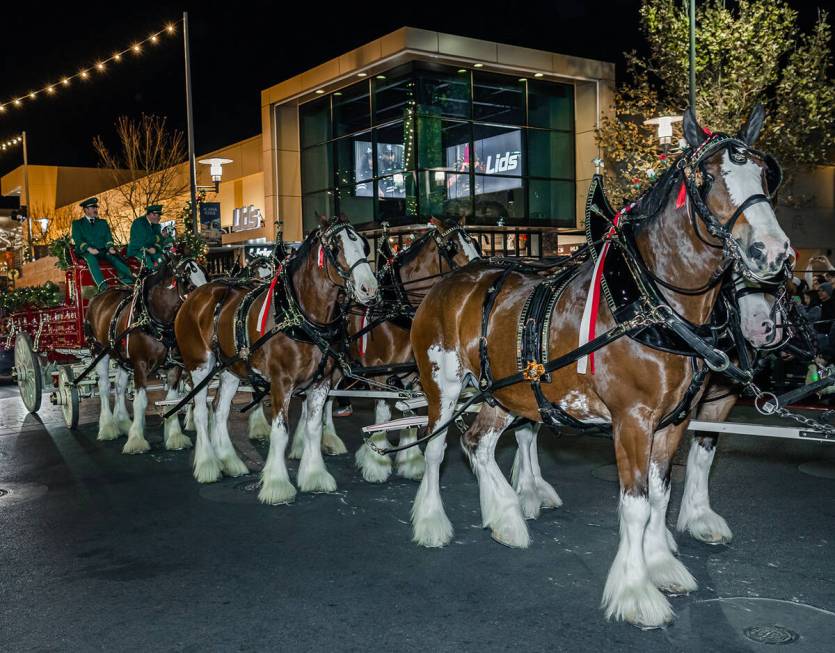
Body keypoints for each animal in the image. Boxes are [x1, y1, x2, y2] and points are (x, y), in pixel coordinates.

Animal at [85, 256, 209, 454]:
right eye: (189, 284)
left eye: (207, 277)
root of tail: (99, 295)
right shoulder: (140, 364)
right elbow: (140, 401)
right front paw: (136, 440)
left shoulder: (175, 366)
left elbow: (171, 400)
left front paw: (174, 436)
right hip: (98, 351)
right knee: (104, 386)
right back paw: (108, 427)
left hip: (122, 358)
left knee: (119, 386)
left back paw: (123, 422)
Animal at [175, 214, 378, 504]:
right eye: (335, 248)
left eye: (363, 245)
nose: (369, 288)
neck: (299, 317)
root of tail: (196, 295)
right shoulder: (281, 382)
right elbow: (280, 432)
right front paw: (277, 484)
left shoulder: (321, 383)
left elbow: (313, 428)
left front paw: (314, 475)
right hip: (199, 365)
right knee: (201, 411)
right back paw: (207, 465)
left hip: (230, 370)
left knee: (219, 410)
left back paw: (229, 461)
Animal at [408, 108, 792, 628]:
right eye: (708, 177)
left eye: (765, 176)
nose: (772, 252)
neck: (650, 304)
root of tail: (451, 282)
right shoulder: (631, 420)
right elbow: (635, 506)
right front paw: (636, 592)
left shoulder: (672, 421)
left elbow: (659, 496)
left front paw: (661, 564)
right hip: (443, 388)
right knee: (435, 448)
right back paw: (433, 522)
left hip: (506, 391)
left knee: (478, 443)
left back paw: (506, 517)